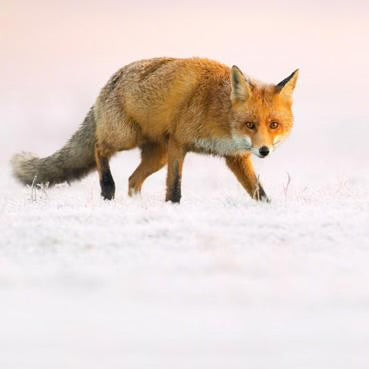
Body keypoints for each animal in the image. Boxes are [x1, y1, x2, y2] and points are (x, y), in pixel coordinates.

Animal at [11, 56, 298, 204]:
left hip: (157, 156)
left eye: (274, 125)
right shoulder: (178, 144)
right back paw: (107, 189)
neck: (218, 112)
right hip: (125, 137)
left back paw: (136, 204)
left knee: (133, 179)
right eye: (250, 125)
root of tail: (109, 81)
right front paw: (172, 207)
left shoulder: (235, 156)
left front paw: (268, 209)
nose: (264, 151)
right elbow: (175, 186)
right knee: (99, 149)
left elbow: (257, 190)